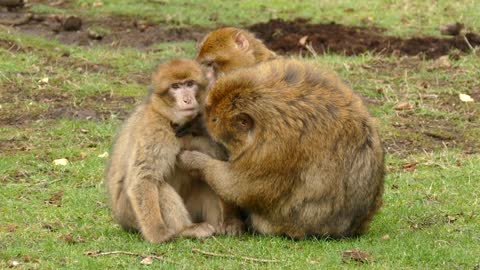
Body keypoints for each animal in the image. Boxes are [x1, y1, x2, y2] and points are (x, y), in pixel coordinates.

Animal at [103, 58, 242, 244]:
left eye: (189, 84)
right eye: (175, 87)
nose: (187, 99)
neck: (176, 124)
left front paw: (232, 220)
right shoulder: (154, 130)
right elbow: (143, 179)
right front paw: (157, 233)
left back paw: (222, 224)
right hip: (129, 215)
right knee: (158, 185)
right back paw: (186, 230)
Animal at [180, 58, 386, 238]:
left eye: (214, 119)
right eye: (208, 110)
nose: (203, 118)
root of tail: (354, 227)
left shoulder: (272, 150)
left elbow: (239, 186)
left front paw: (196, 161)